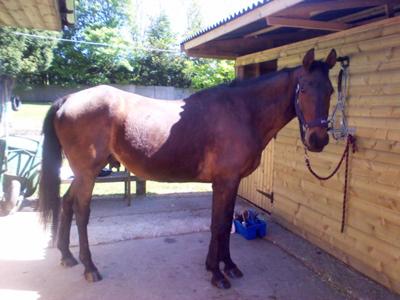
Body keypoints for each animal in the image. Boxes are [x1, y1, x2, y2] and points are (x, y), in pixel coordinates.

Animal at [39, 48, 336, 288]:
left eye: (331, 90)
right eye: (304, 88)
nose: (318, 140)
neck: (243, 111)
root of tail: (67, 99)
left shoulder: (232, 182)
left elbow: (225, 222)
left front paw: (227, 265)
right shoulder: (225, 181)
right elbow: (218, 225)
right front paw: (217, 274)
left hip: (81, 175)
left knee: (66, 203)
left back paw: (67, 255)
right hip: (88, 174)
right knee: (81, 213)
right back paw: (90, 267)